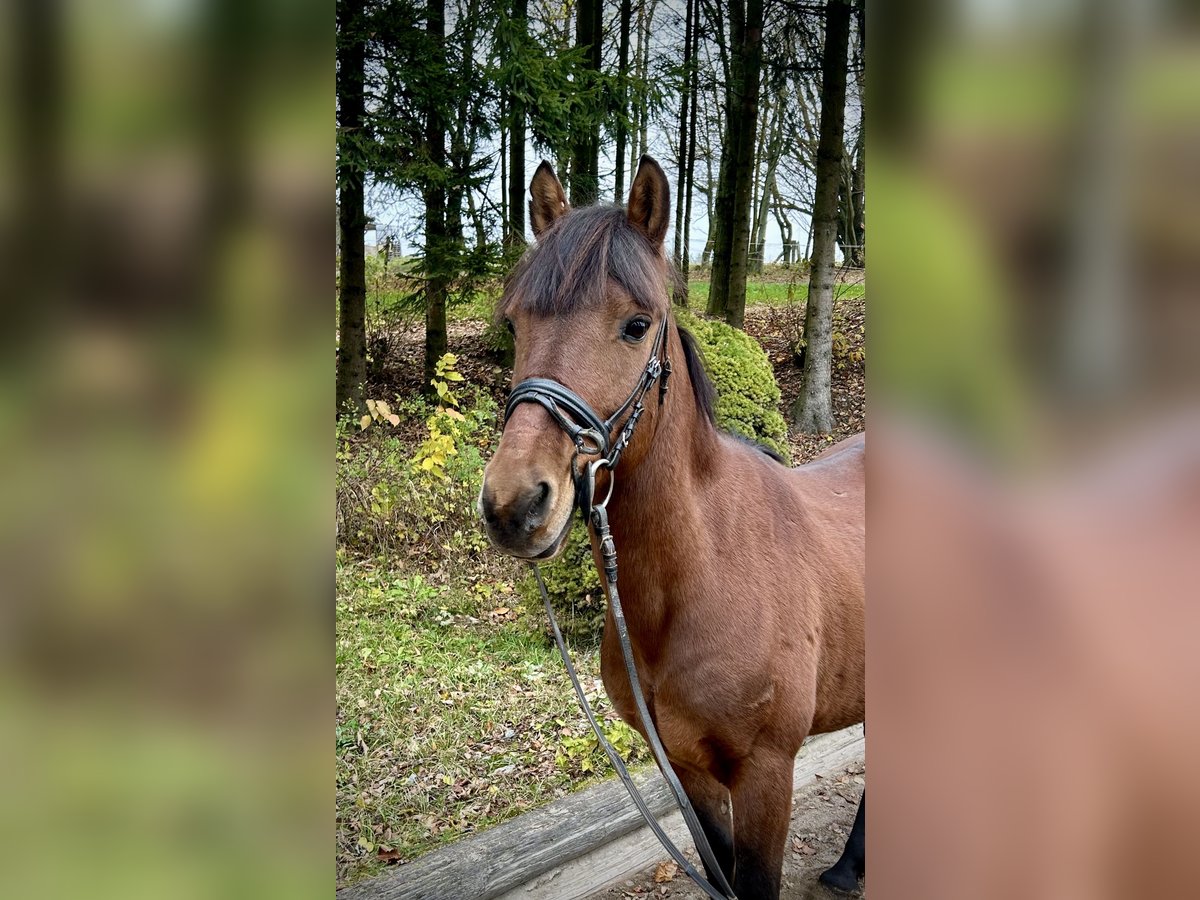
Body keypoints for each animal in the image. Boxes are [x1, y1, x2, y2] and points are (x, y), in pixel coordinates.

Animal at [477, 158, 864, 897]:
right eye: (514, 325)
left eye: (635, 325)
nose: (515, 505)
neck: (703, 570)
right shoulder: (684, 771)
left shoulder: (766, 774)